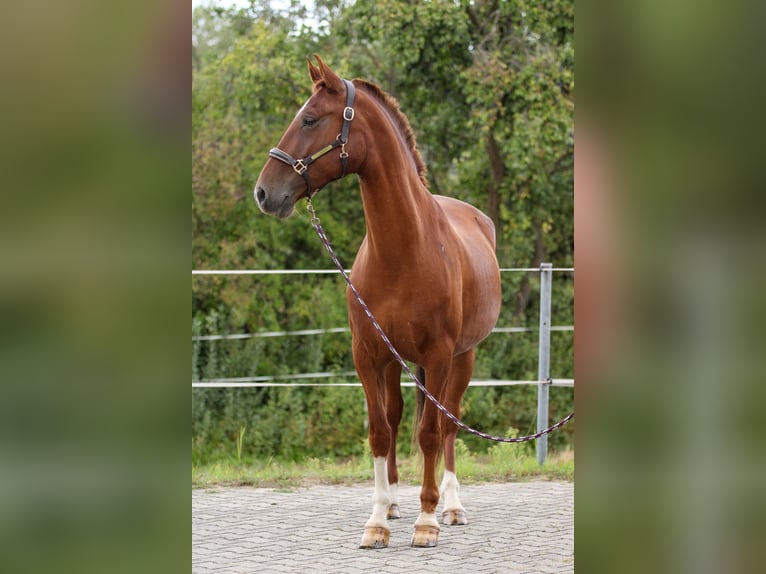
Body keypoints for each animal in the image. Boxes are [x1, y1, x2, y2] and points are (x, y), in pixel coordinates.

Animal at [255, 55, 502, 549]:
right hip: (396, 363)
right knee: (398, 416)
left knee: (448, 424)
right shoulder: (368, 355)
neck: (404, 250)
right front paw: (377, 520)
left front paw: (426, 521)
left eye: (310, 119)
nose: (264, 192)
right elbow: (379, 431)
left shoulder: (439, 355)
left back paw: (450, 505)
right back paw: (392, 502)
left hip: (462, 358)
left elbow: (429, 433)